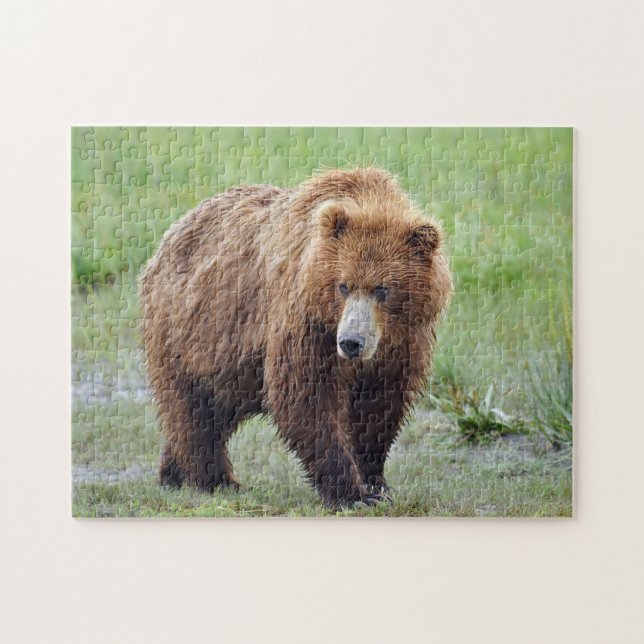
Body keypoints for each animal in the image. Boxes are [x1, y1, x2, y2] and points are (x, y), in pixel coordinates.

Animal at [140, 167, 452, 508]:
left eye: (382, 289)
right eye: (343, 286)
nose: (351, 343)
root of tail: (168, 238)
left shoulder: (403, 342)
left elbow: (379, 407)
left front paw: (376, 483)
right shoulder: (306, 322)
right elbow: (305, 397)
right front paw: (350, 493)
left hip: (230, 362)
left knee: (214, 408)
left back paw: (173, 472)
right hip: (188, 333)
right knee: (192, 410)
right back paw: (215, 480)